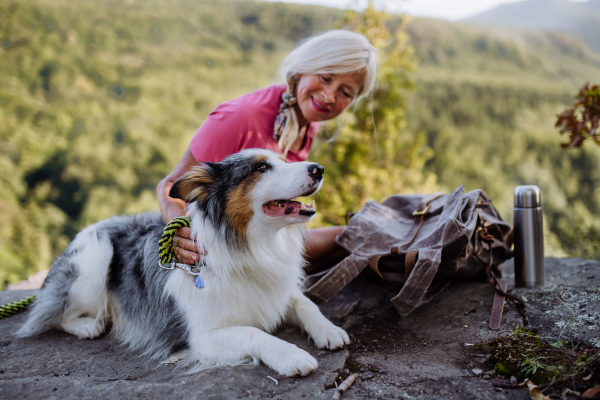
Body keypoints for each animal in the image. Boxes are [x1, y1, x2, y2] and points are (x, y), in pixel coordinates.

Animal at [16, 148, 350, 376]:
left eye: (282, 160)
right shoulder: (203, 337)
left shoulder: (278, 292)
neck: (251, 246)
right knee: (52, 314)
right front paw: (293, 357)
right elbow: (255, 333)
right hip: (95, 257)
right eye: (261, 167)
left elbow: (306, 303)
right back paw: (88, 325)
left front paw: (329, 330)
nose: (318, 169)